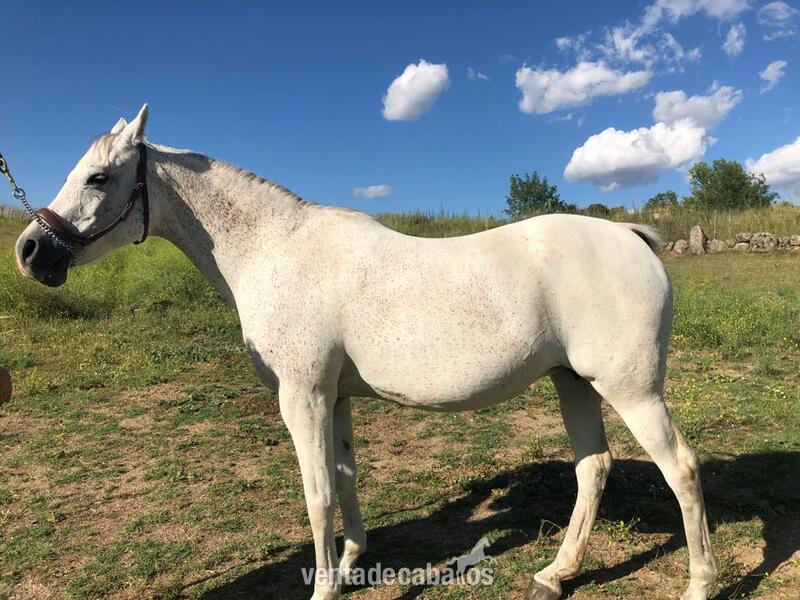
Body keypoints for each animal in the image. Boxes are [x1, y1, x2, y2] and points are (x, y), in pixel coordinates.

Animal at [15, 105, 718, 600]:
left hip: (631, 390)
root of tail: (630, 237)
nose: (30, 250)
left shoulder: (301, 396)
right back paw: (555, 573)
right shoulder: (335, 397)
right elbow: (346, 476)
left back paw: (700, 582)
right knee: (593, 468)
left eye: (98, 176)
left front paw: (325, 585)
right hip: (572, 382)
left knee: (681, 470)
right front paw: (353, 561)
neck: (274, 250)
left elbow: (317, 492)